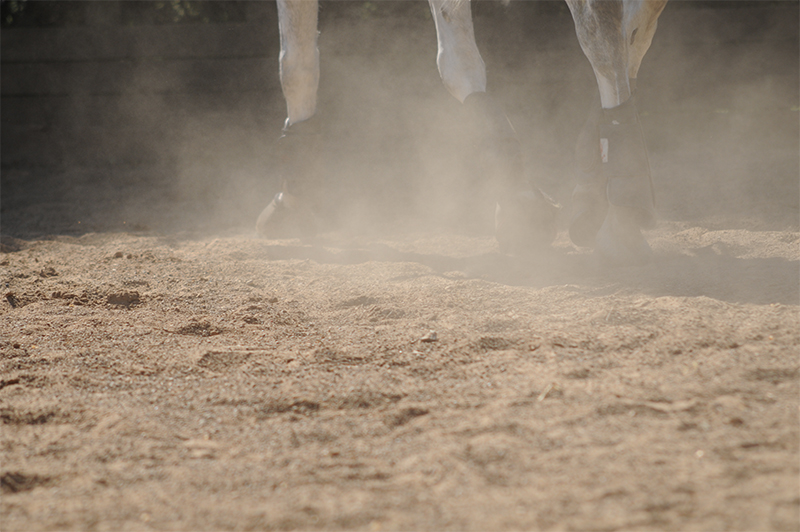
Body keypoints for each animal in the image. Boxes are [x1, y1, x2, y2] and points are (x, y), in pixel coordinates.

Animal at [256, 0, 668, 264]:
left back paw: (621, 219)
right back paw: (595, 187)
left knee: (601, 30)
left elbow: (294, 62)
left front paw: (292, 197)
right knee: (634, 28)